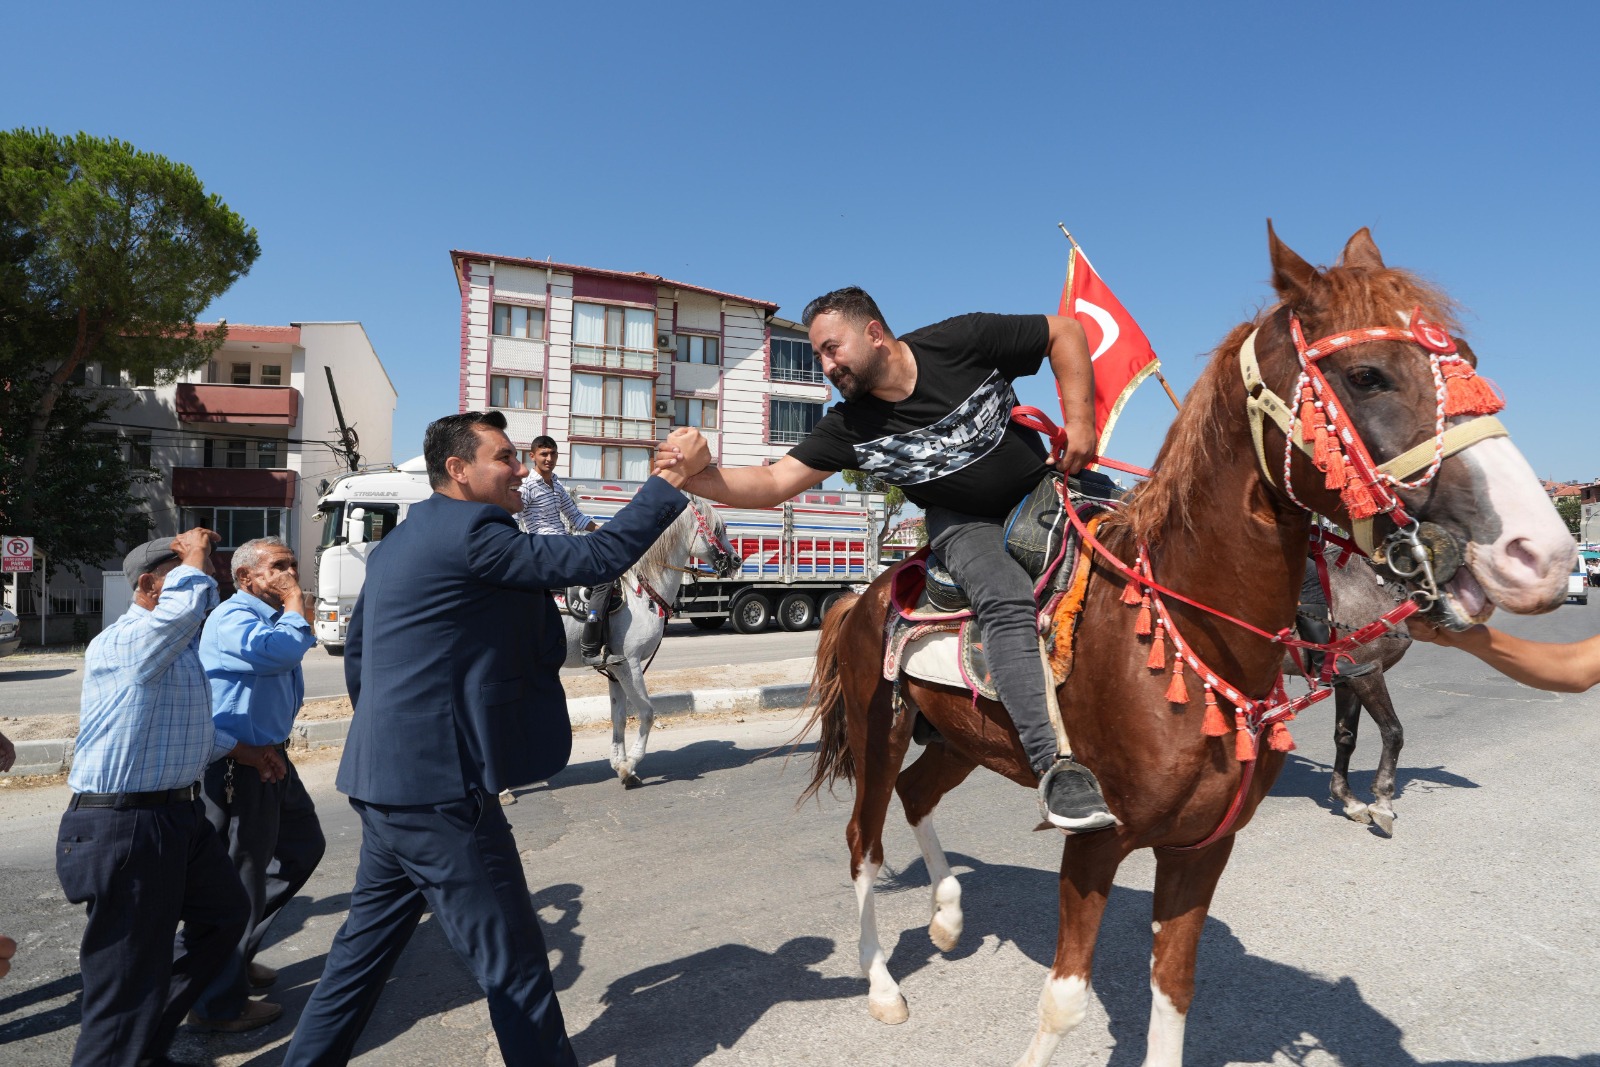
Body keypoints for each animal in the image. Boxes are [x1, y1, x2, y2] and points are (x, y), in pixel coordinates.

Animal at [800, 227, 1561, 1067]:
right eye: (1366, 374)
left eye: (1468, 356)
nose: (1540, 549)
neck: (1185, 636)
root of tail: (866, 591)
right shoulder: (1096, 847)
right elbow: (1064, 1001)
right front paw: (1376, 800)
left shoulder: (1202, 846)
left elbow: (1174, 988)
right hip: (879, 728)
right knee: (863, 839)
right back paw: (882, 986)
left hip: (959, 738)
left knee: (916, 795)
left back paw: (947, 915)